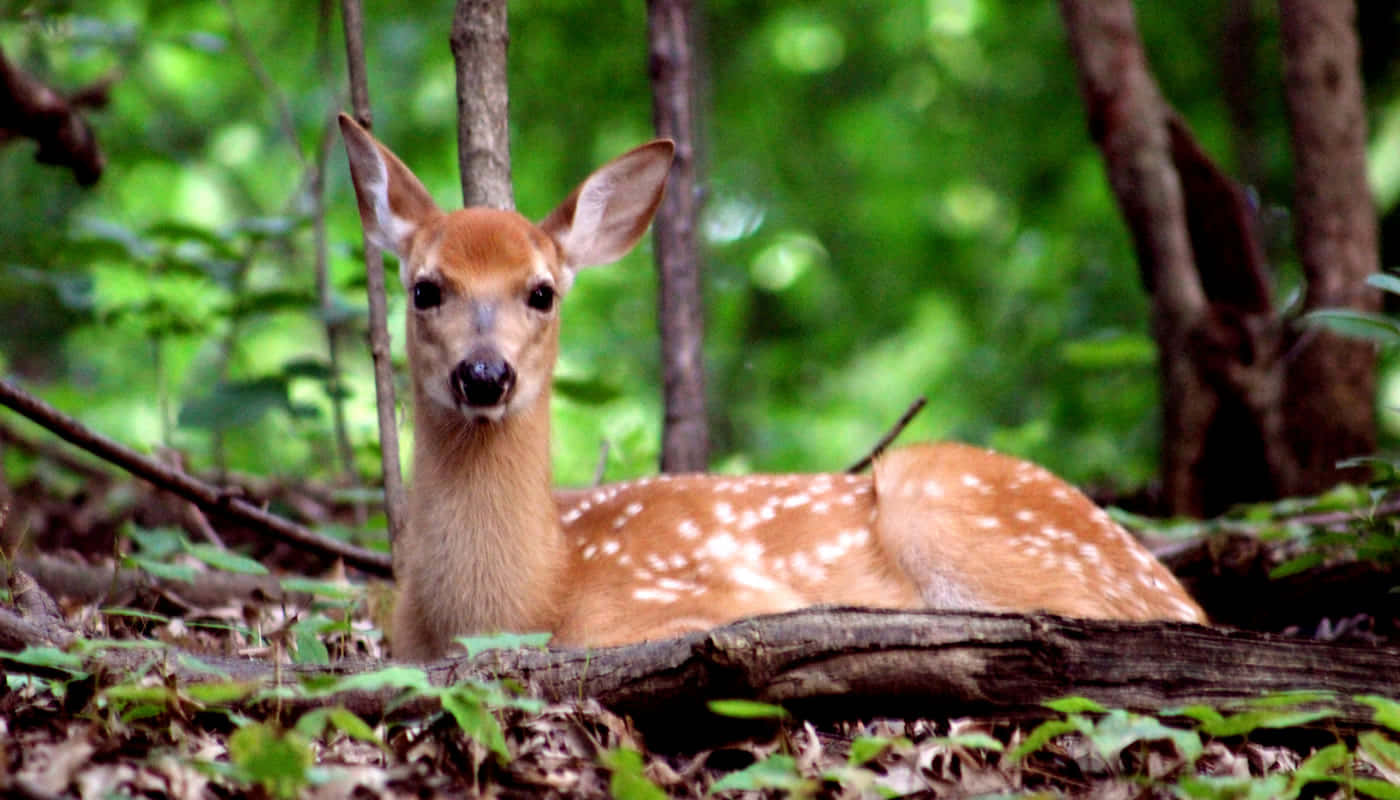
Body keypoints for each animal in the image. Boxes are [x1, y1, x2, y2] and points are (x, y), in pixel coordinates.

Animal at [338, 114, 1207, 662]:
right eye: (425, 289)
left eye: (542, 292)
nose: (485, 374)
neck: (528, 594)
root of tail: (1182, 596)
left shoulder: (697, 601)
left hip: (945, 501)